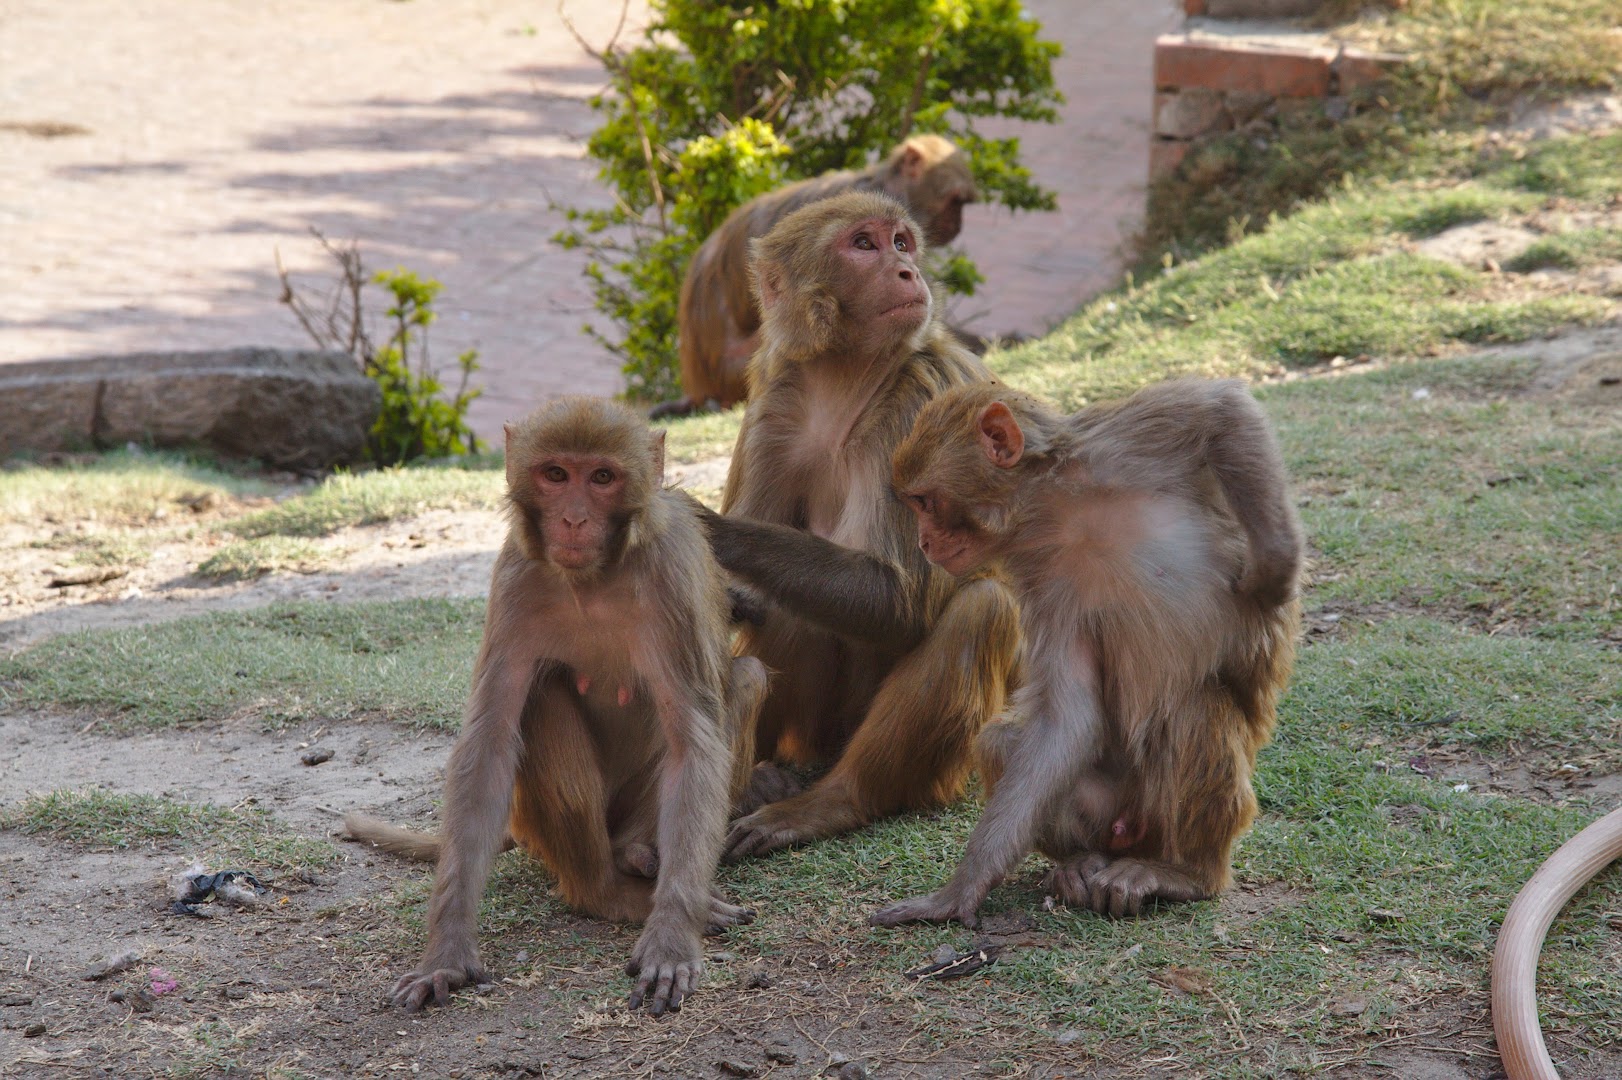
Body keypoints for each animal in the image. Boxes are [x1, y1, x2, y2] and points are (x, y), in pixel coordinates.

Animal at [345, 394, 762, 1011]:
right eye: (557, 475)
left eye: (603, 478)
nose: (573, 520)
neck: (593, 579)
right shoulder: (515, 577)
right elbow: (489, 742)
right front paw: (446, 953)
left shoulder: (670, 575)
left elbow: (694, 742)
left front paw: (670, 933)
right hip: (544, 828)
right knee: (539, 699)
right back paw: (604, 890)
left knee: (748, 677)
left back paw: (638, 863)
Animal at [875, 377, 1304, 927]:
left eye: (925, 502)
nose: (924, 544)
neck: (1057, 513)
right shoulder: (1040, 584)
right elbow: (1068, 717)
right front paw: (962, 890)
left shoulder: (1118, 445)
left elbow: (1221, 409)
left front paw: (1275, 565)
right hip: (1106, 810)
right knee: (1000, 741)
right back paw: (1080, 863)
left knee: (1195, 709)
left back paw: (1185, 874)